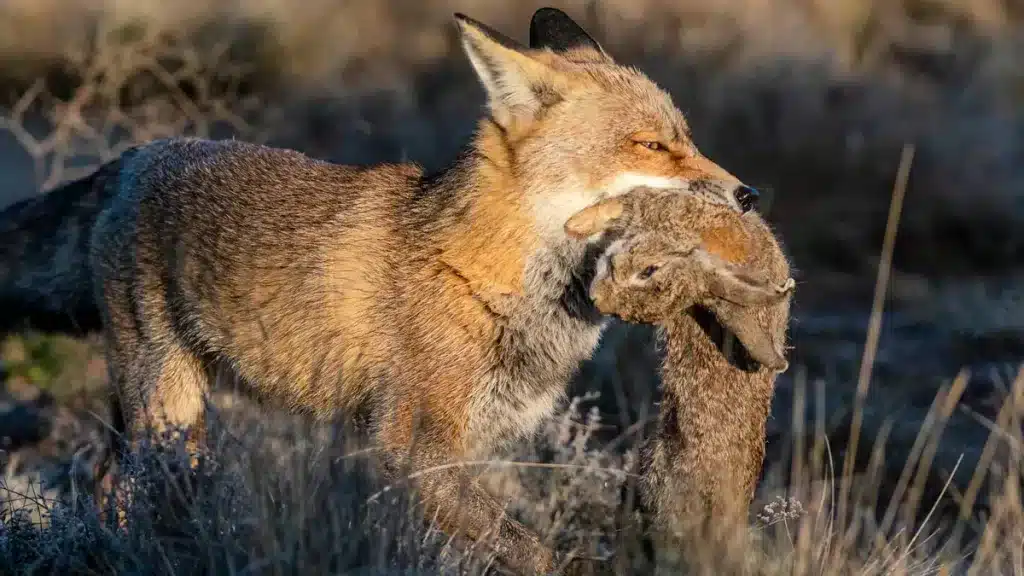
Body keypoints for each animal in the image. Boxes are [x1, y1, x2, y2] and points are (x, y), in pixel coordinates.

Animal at [0, 8, 764, 574]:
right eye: (651, 146)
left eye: (686, 138)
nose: (748, 195)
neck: (485, 272)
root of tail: (137, 155)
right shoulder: (413, 445)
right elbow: (536, 554)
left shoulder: (462, 452)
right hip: (169, 414)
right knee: (135, 496)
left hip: (145, 418)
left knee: (103, 486)